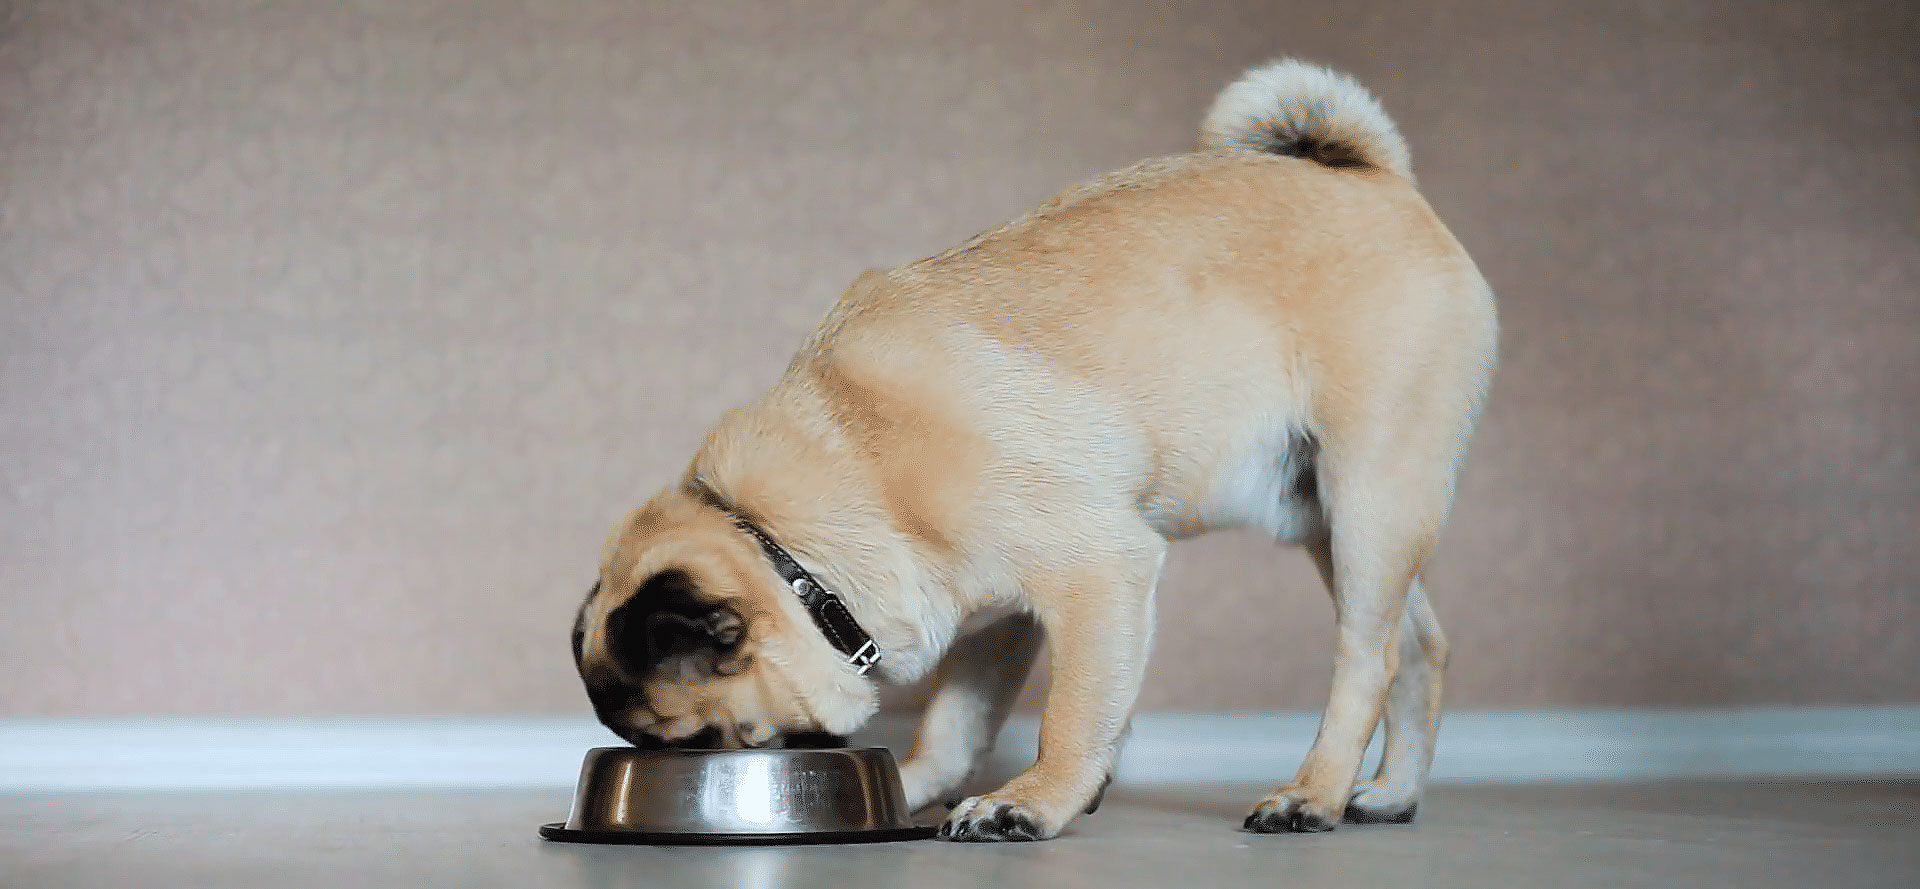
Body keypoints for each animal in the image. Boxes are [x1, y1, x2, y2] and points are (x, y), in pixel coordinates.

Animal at [568, 59, 1497, 844]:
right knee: (1423, 646)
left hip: (1371, 494)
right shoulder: (995, 618)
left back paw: (1312, 794)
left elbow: (1075, 713)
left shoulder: (1102, 571)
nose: (663, 768)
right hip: (1324, 520)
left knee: (1369, 657)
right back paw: (1389, 792)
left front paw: (1034, 800)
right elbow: (956, 720)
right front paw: (918, 784)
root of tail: (1373, 178)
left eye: (687, 738)